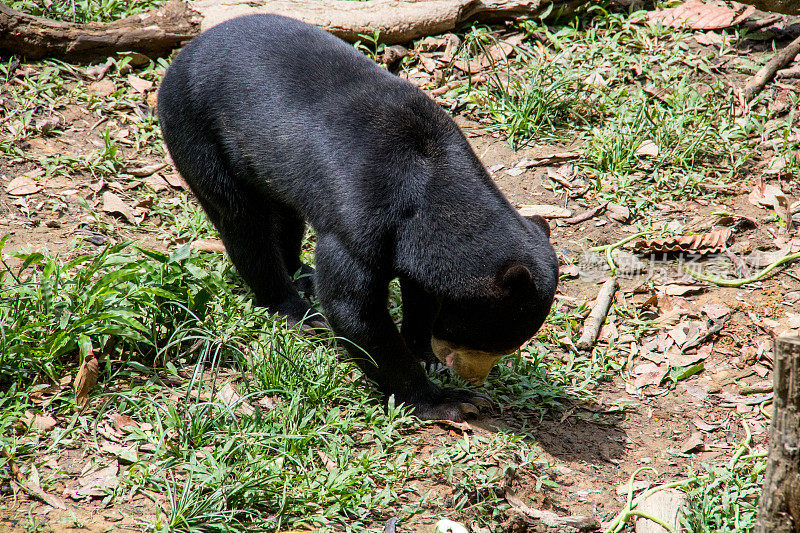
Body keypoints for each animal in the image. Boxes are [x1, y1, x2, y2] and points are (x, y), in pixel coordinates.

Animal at [156, 14, 556, 420]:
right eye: (485, 340)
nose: (474, 377)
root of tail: (186, 51)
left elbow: (419, 293)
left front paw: (425, 355)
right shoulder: (359, 223)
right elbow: (354, 311)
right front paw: (450, 400)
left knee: (284, 216)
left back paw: (302, 274)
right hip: (198, 132)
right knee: (243, 224)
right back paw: (299, 311)